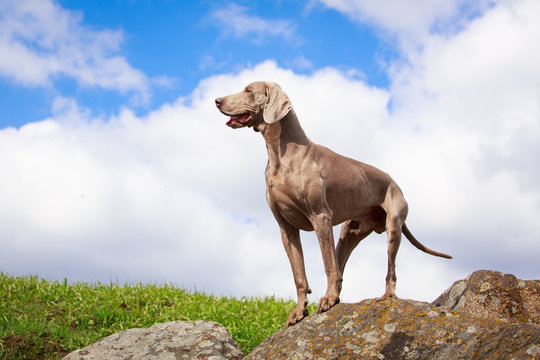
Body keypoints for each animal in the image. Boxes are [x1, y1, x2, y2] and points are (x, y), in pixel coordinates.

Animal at [215, 81, 452, 326]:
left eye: (248, 91)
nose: (217, 100)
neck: (281, 155)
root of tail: (394, 182)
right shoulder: (286, 228)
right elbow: (299, 275)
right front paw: (300, 311)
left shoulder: (321, 217)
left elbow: (327, 265)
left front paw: (326, 301)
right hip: (349, 233)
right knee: (340, 268)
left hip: (393, 225)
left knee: (388, 268)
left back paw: (386, 295)